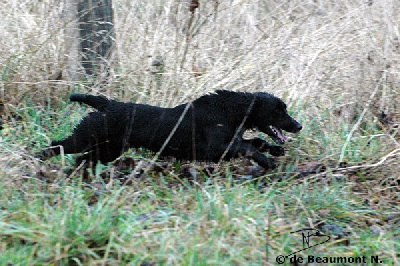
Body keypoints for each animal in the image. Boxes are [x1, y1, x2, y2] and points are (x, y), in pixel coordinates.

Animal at [40, 91, 302, 169]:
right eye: (279, 111)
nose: (298, 125)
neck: (229, 111)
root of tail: (106, 104)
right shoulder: (215, 148)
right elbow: (249, 146)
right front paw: (268, 162)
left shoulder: (229, 143)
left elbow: (255, 140)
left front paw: (274, 151)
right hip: (85, 138)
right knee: (54, 146)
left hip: (108, 150)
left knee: (82, 159)